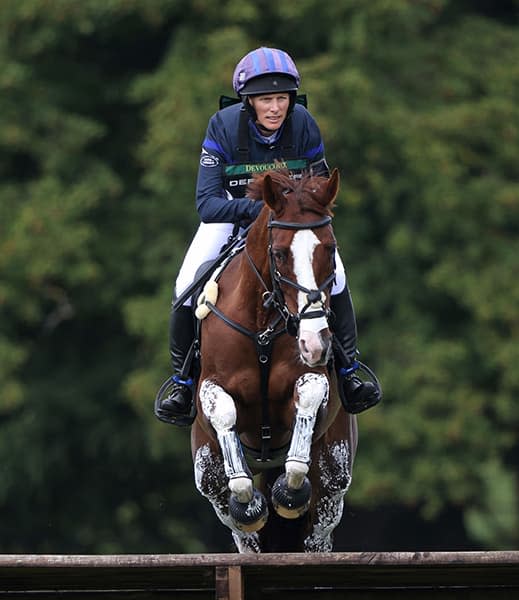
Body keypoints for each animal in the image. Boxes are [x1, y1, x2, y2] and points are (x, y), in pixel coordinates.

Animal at [190, 169, 358, 552]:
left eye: (330, 249)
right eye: (279, 254)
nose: (315, 343)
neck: (262, 321)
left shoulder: (312, 377)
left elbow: (308, 400)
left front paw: (289, 493)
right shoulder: (211, 384)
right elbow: (224, 413)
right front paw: (247, 499)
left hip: (333, 474)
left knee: (317, 534)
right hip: (208, 469)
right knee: (243, 532)